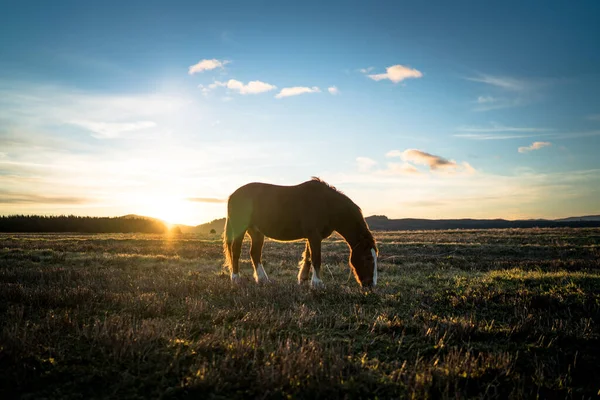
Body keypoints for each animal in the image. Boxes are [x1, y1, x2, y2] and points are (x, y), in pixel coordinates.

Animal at [223, 178, 378, 288]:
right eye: (367, 258)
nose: (371, 285)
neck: (327, 204)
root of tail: (232, 195)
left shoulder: (313, 236)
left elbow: (308, 257)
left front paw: (303, 279)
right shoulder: (314, 235)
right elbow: (316, 258)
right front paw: (317, 284)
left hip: (256, 232)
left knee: (254, 254)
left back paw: (263, 280)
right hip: (240, 229)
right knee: (235, 251)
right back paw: (236, 279)